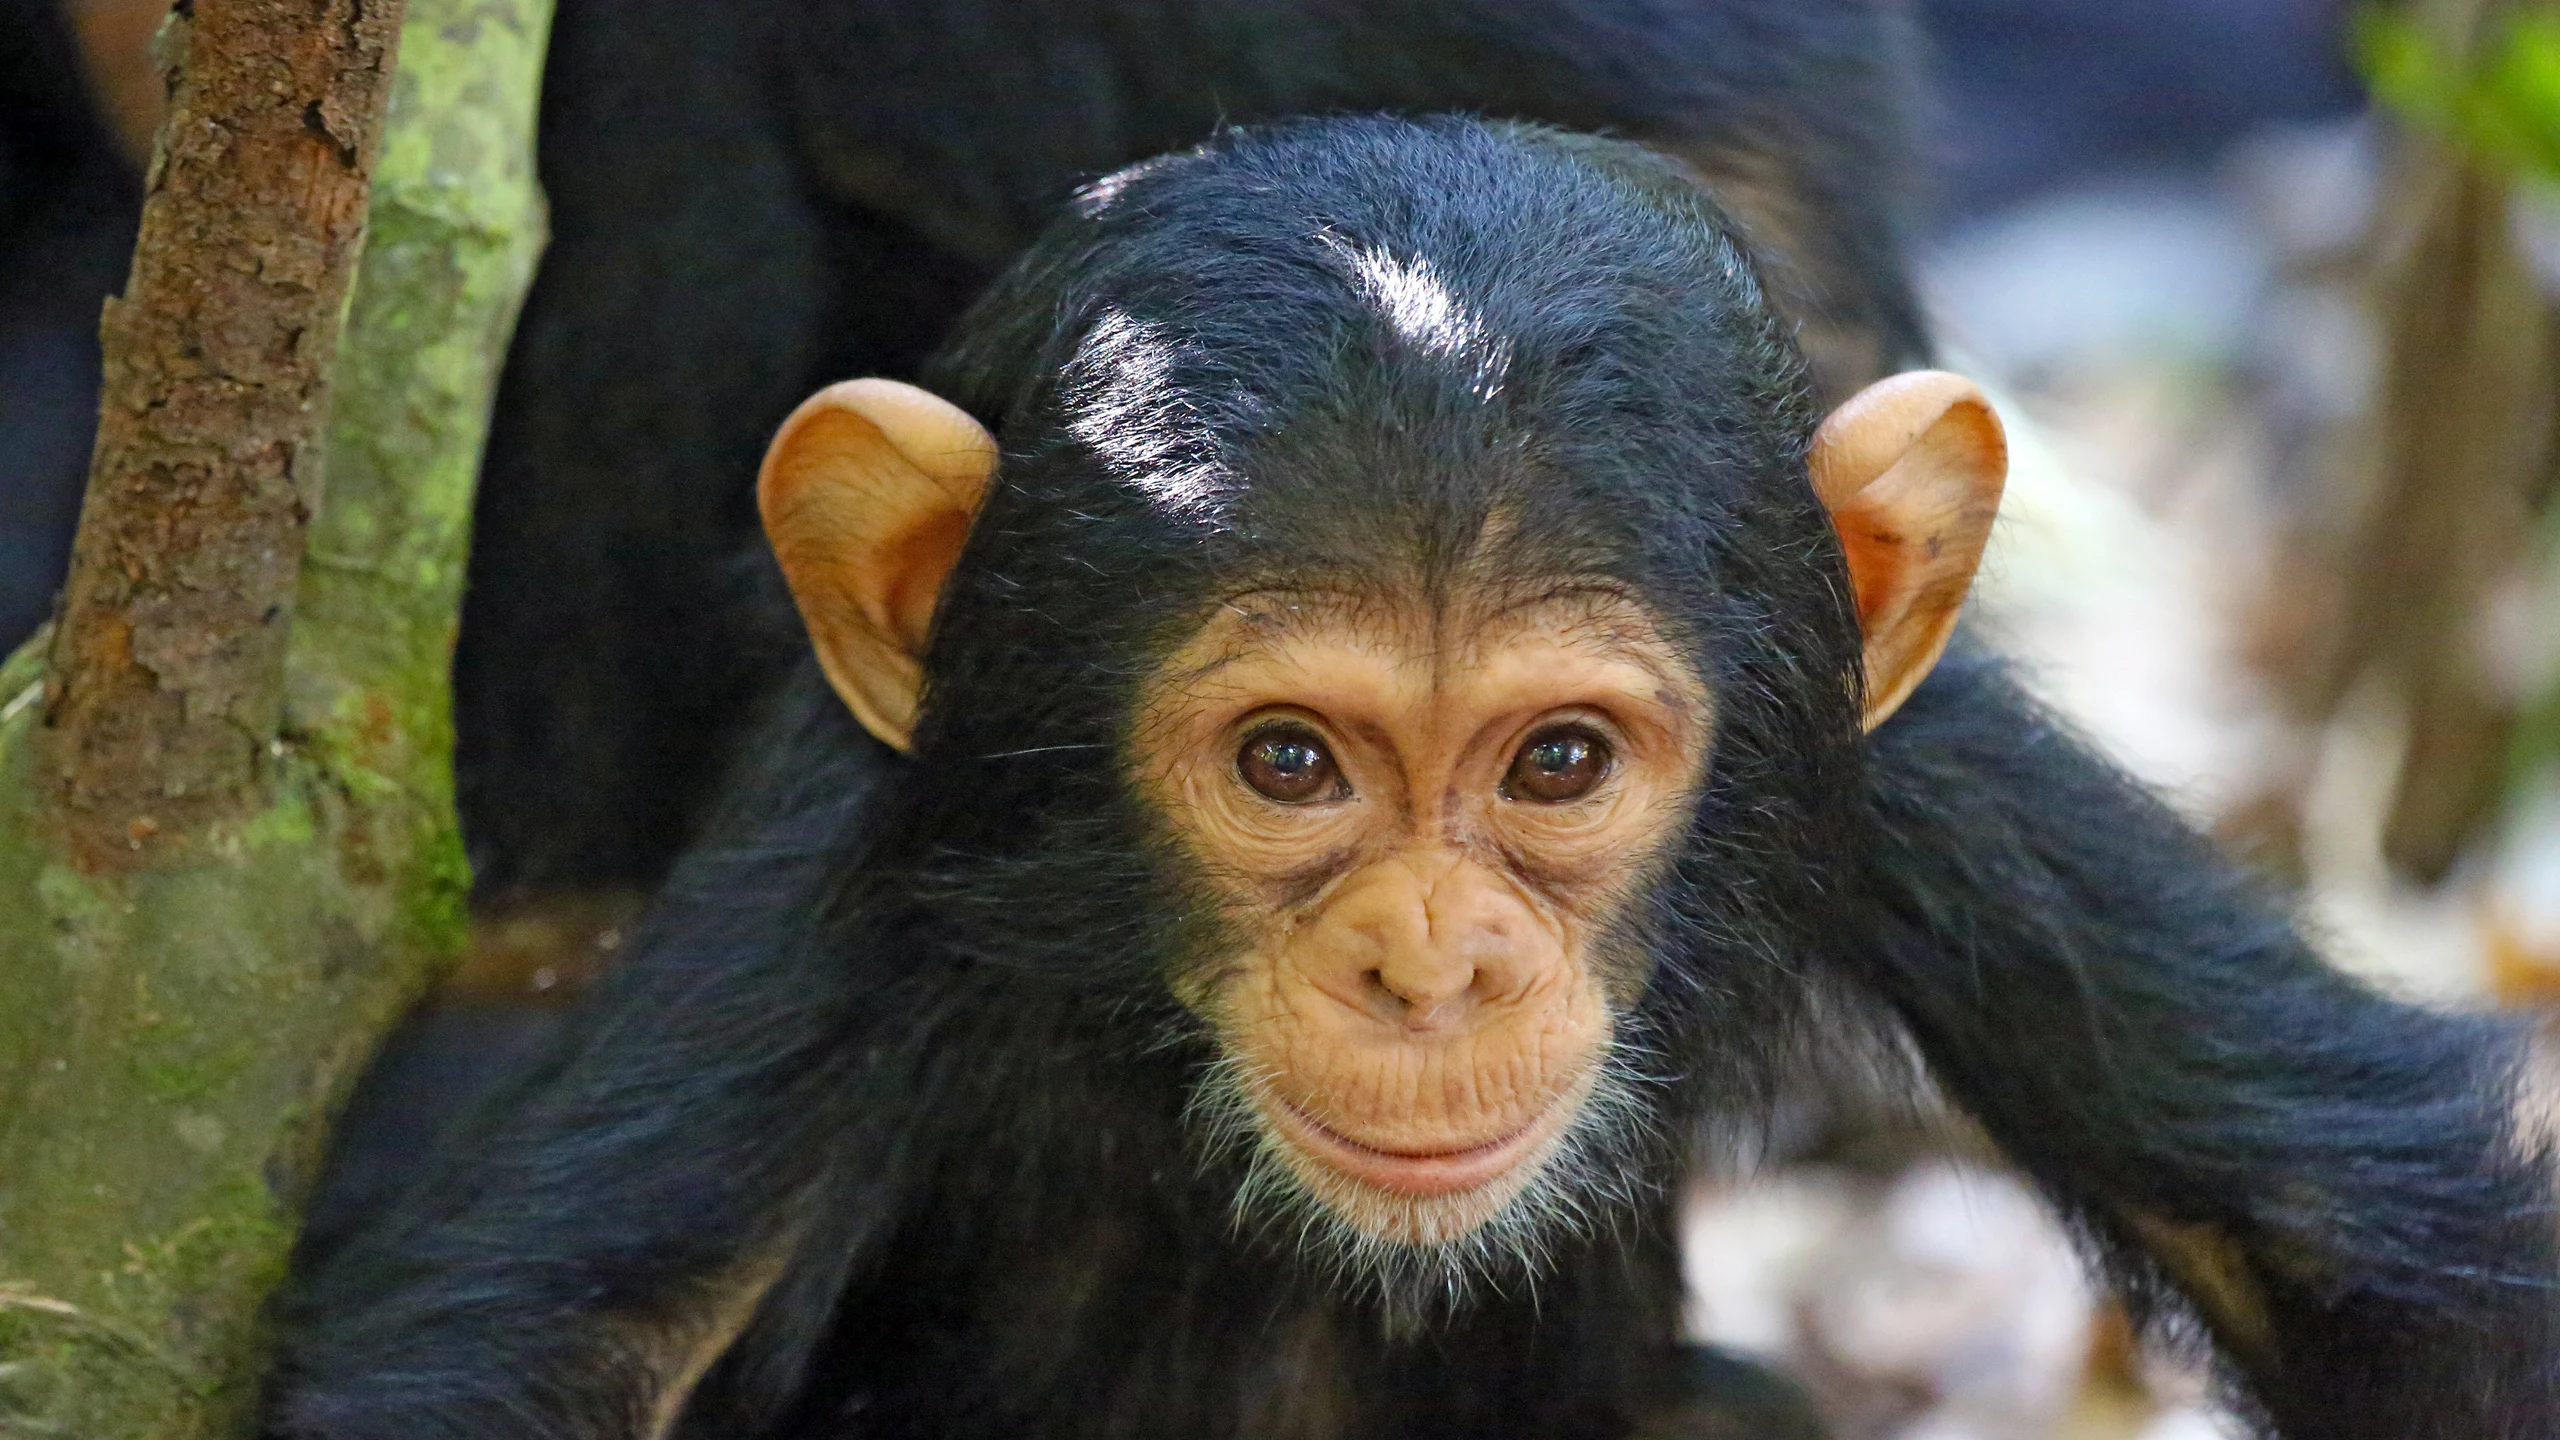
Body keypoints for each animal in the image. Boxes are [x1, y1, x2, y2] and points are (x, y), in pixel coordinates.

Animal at [267, 116, 2560, 1440]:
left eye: (1557, 761)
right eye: (1289, 764)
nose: (1430, 962)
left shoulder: (1932, 789)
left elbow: (2360, 1256)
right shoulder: (859, 866)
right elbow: (559, 1346)